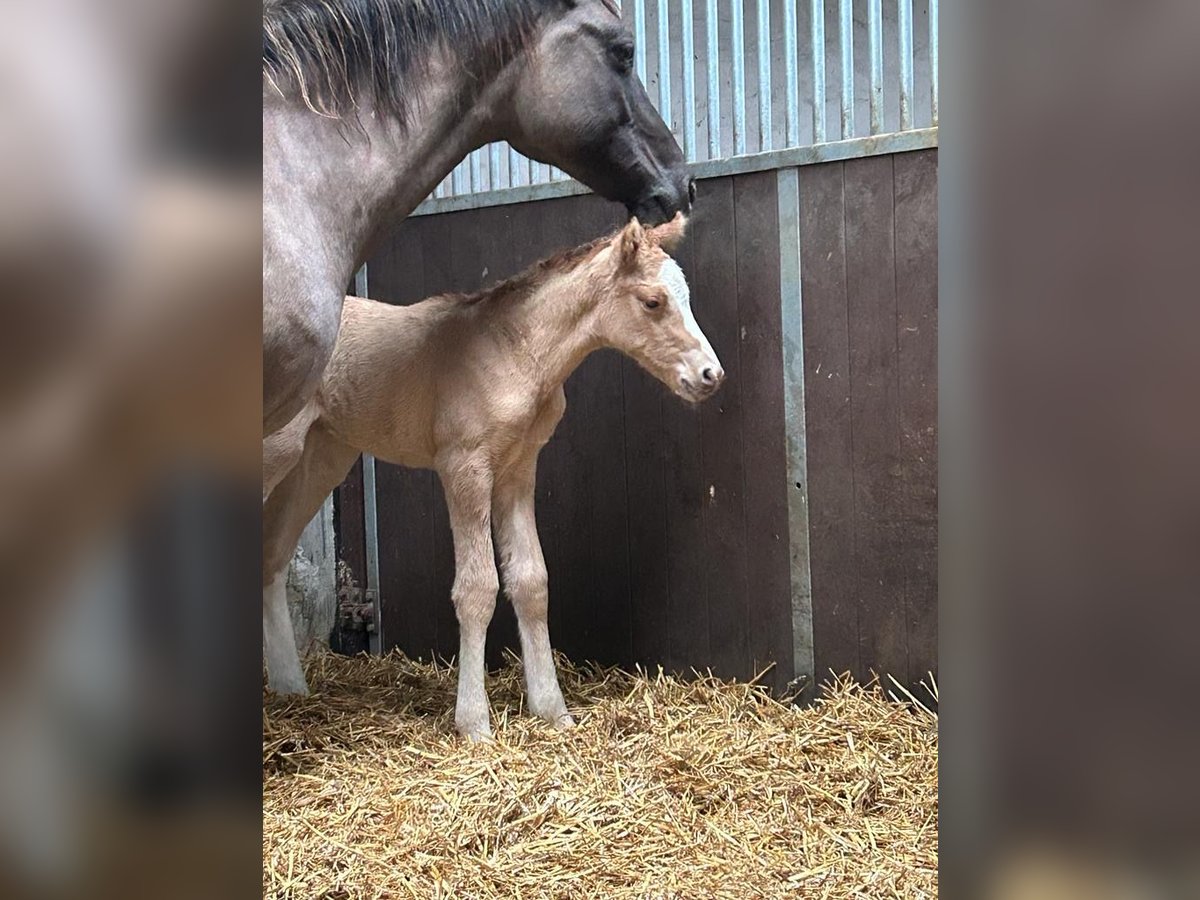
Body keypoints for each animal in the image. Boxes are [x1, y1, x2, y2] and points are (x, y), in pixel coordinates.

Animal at [265, 218, 720, 739]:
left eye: (686, 296)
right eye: (652, 301)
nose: (711, 375)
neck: (516, 353)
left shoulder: (518, 470)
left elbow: (531, 580)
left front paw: (552, 710)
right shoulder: (464, 466)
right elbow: (477, 587)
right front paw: (474, 722)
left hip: (322, 457)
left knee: (273, 557)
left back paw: (290, 689)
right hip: (278, 450)